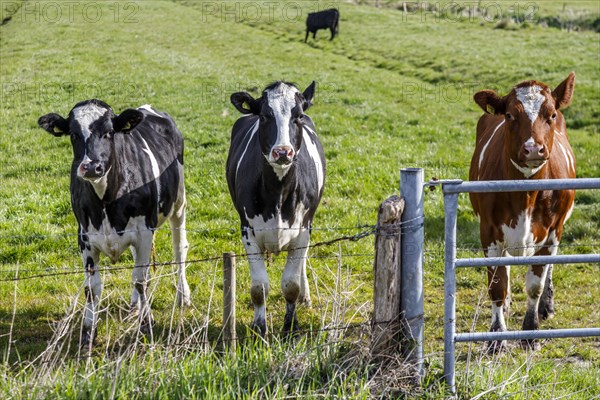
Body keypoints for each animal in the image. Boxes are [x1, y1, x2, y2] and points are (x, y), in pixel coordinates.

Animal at [38, 101, 189, 350]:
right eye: (74, 135)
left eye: (109, 132)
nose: (91, 167)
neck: (106, 200)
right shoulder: (85, 237)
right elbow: (92, 288)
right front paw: (88, 334)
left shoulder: (144, 233)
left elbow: (140, 280)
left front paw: (147, 325)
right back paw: (135, 306)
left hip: (178, 204)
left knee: (179, 250)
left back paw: (183, 296)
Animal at [226, 79, 328, 336]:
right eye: (264, 116)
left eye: (298, 116)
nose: (282, 151)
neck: (278, 192)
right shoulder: (248, 231)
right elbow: (259, 287)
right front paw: (259, 327)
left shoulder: (303, 230)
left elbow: (290, 284)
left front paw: (291, 325)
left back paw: (305, 296)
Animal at [468, 73, 576, 352]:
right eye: (509, 115)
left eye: (550, 114)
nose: (533, 149)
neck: (525, 194)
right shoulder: (489, 231)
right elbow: (497, 285)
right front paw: (497, 336)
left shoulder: (552, 232)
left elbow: (535, 285)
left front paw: (530, 331)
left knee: (549, 270)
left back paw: (547, 306)